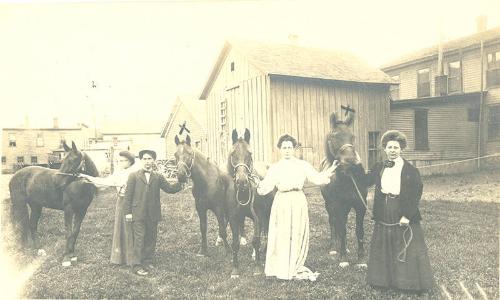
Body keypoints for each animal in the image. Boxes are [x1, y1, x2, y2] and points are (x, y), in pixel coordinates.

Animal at [228, 127, 276, 276]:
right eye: (233, 153)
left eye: (250, 153)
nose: (242, 181)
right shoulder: (234, 217)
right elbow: (235, 243)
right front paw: (235, 269)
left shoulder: (258, 216)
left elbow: (256, 240)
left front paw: (257, 268)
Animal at [320, 110, 368, 268]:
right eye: (334, 136)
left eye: (352, 136)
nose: (351, 162)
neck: (348, 179)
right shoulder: (338, 205)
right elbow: (341, 228)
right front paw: (343, 259)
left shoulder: (360, 205)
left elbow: (359, 230)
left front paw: (361, 259)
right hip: (329, 205)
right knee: (333, 222)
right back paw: (334, 248)